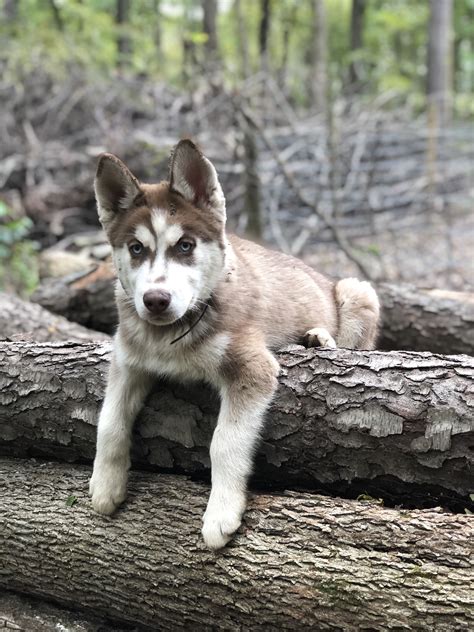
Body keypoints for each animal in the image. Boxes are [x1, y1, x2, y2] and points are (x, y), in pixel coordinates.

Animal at [88, 139, 378, 548]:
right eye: (135, 249)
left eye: (185, 246)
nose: (156, 300)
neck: (170, 337)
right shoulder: (128, 361)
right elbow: (109, 421)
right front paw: (105, 485)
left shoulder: (252, 368)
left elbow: (224, 442)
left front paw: (220, 513)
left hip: (357, 290)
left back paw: (320, 339)